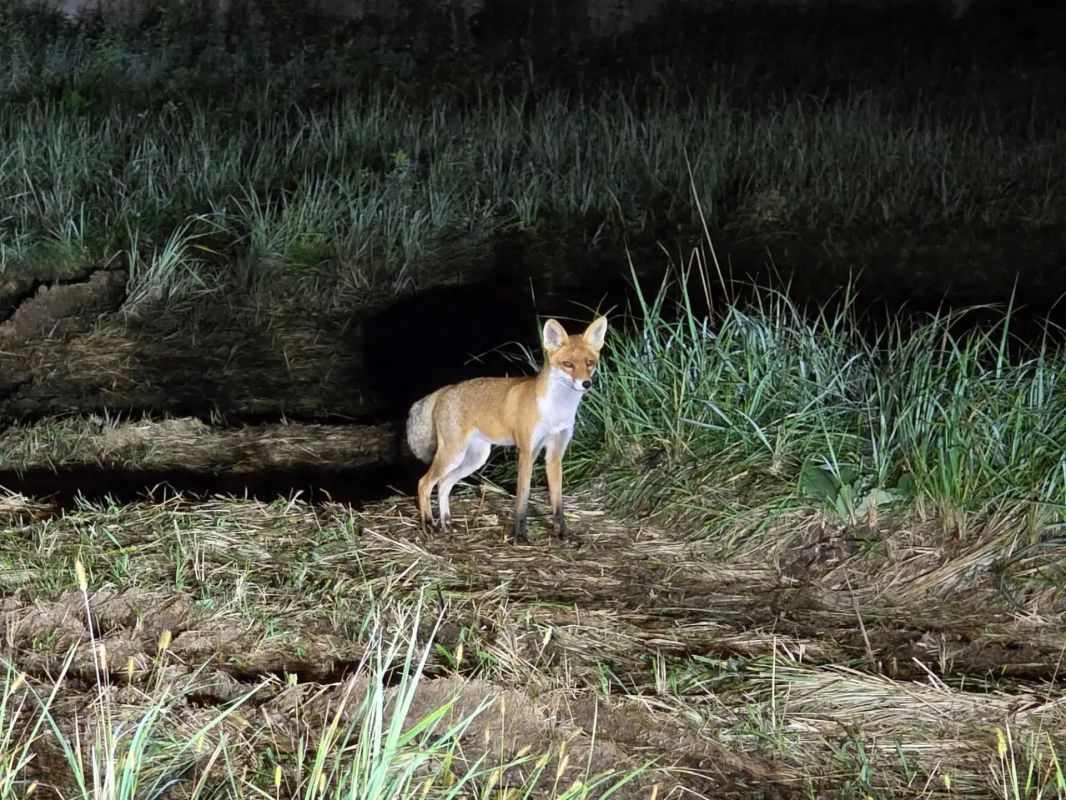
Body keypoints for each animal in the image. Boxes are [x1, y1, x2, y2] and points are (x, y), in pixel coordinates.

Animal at [405, 316, 609, 543]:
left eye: (590, 363)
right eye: (568, 364)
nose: (586, 383)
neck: (556, 411)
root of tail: (445, 390)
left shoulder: (555, 454)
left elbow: (558, 502)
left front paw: (562, 532)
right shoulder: (527, 452)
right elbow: (522, 500)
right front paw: (520, 535)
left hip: (475, 458)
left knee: (443, 485)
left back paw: (447, 524)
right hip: (453, 454)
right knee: (424, 483)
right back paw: (428, 524)